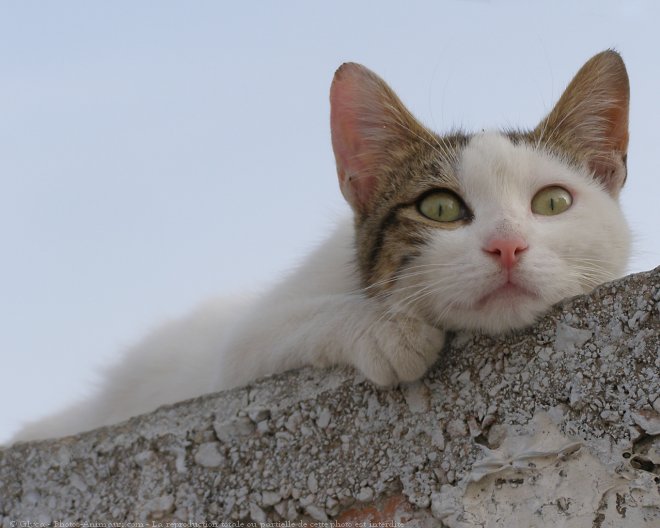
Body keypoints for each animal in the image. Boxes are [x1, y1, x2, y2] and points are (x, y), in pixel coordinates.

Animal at [10, 51, 628, 444]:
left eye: (552, 202)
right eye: (439, 209)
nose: (507, 246)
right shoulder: (236, 357)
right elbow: (286, 327)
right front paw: (387, 330)